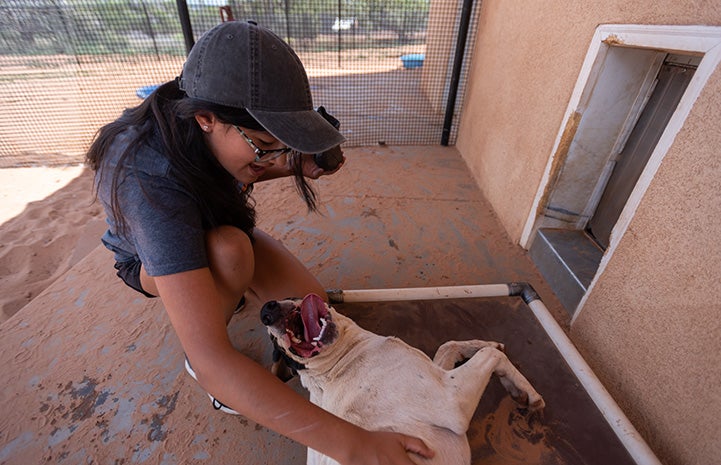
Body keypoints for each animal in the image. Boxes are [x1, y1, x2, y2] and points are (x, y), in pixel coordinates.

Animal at [262, 294, 544, 464]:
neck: (338, 363)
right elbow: (493, 355)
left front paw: (482, 344)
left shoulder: (439, 374)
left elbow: (450, 344)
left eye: (289, 295)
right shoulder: (451, 399)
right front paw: (524, 390)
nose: (266, 311)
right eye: (275, 343)